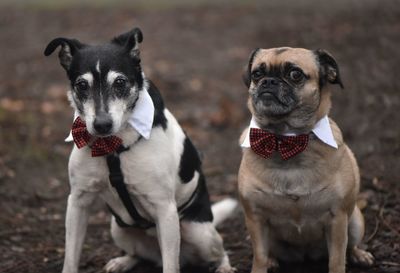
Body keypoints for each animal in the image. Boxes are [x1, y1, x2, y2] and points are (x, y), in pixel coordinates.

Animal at [43, 27, 238, 272]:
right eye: (81, 85)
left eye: (120, 82)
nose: (102, 124)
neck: (113, 146)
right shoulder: (78, 202)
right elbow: (70, 258)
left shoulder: (165, 210)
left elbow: (171, 266)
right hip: (118, 228)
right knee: (139, 254)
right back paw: (122, 261)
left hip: (199, 233)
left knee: (220, 252)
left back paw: (224, 267)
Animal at [238, 47, 376, 272]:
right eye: (257, 74)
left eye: (295, 74)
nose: (268, 81)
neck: (285, 139)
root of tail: (305, 255)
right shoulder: (255, 219)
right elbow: (259, 257)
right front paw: (262, 265)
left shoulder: (338, 218)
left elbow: (337, 259)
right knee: (269, 252)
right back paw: (272, 260)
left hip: (354, 220)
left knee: (350, 246)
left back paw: (360, 255)